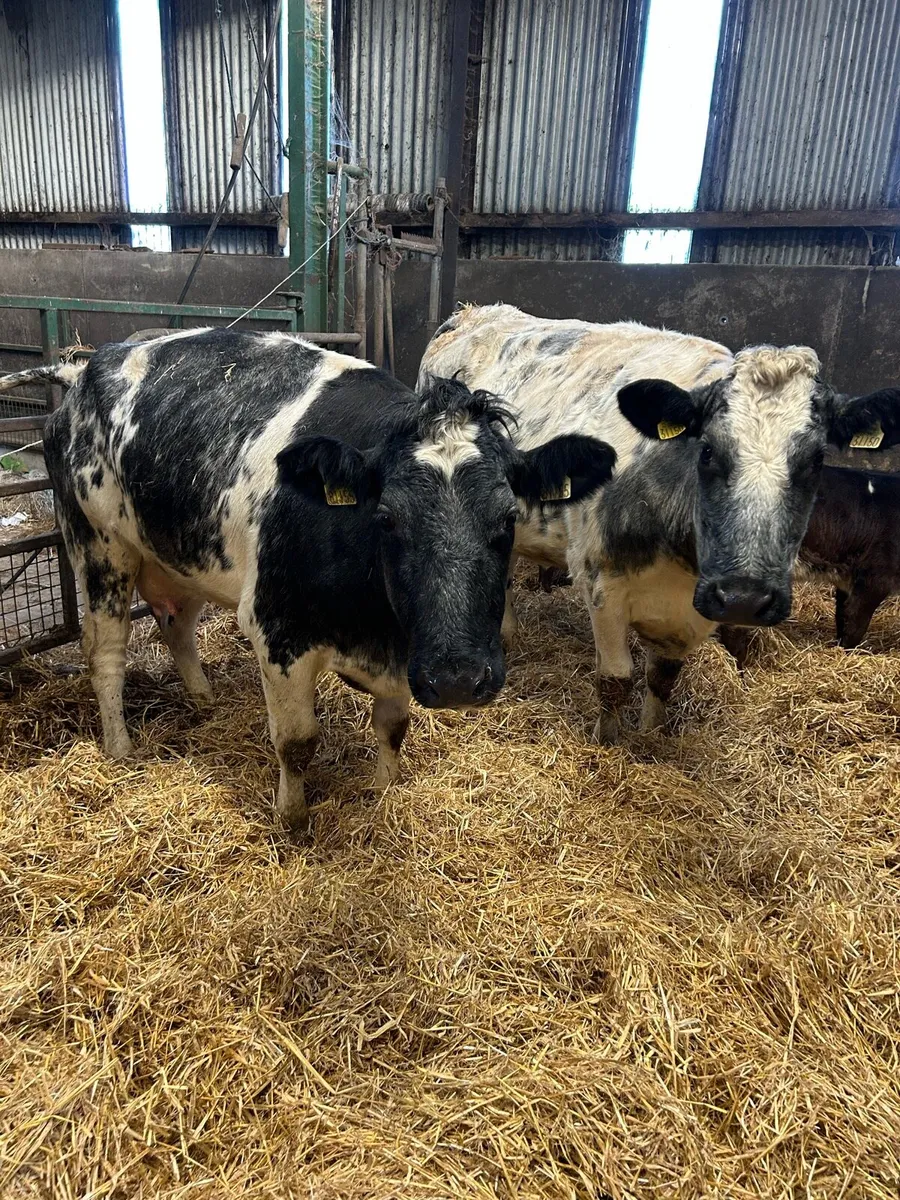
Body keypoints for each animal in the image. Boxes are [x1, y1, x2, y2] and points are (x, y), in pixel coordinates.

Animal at [39, 327, 616, 833]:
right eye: (386, 517)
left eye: (509, 517)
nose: (458, 679)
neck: (377, 627)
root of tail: (87, 367)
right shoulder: (277, 631)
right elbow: (297, 741)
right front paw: (292, 819)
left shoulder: (400, 656)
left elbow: (393, 727)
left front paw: (385, 786)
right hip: (99, 544)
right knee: (106, 654)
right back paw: (120, 748)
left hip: (181, 555)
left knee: (176, 626)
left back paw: (203, 699)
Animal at [419, 304, 900, 741]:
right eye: (707, 450)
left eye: (817, 460)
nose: (744, 599)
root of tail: (472, 312)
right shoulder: (602, 585)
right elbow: (615, 679)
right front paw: (609, 743)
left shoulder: (689, 616)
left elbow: (663, 678)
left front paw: (651, 737)